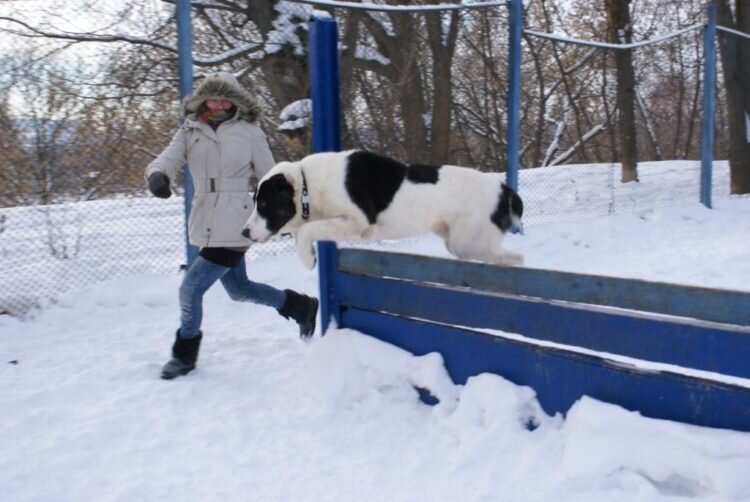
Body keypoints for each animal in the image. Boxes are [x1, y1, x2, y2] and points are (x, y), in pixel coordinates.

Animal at [244, 150, 524, 270]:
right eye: (255, 201)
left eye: (265, 203)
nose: (244, 233)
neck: (307, 186)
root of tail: (505, 190)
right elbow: (304, 230)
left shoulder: (359, 222)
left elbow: (306, 231)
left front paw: (308, 259)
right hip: (462, 244)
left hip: (467, 242)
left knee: (517, 258)